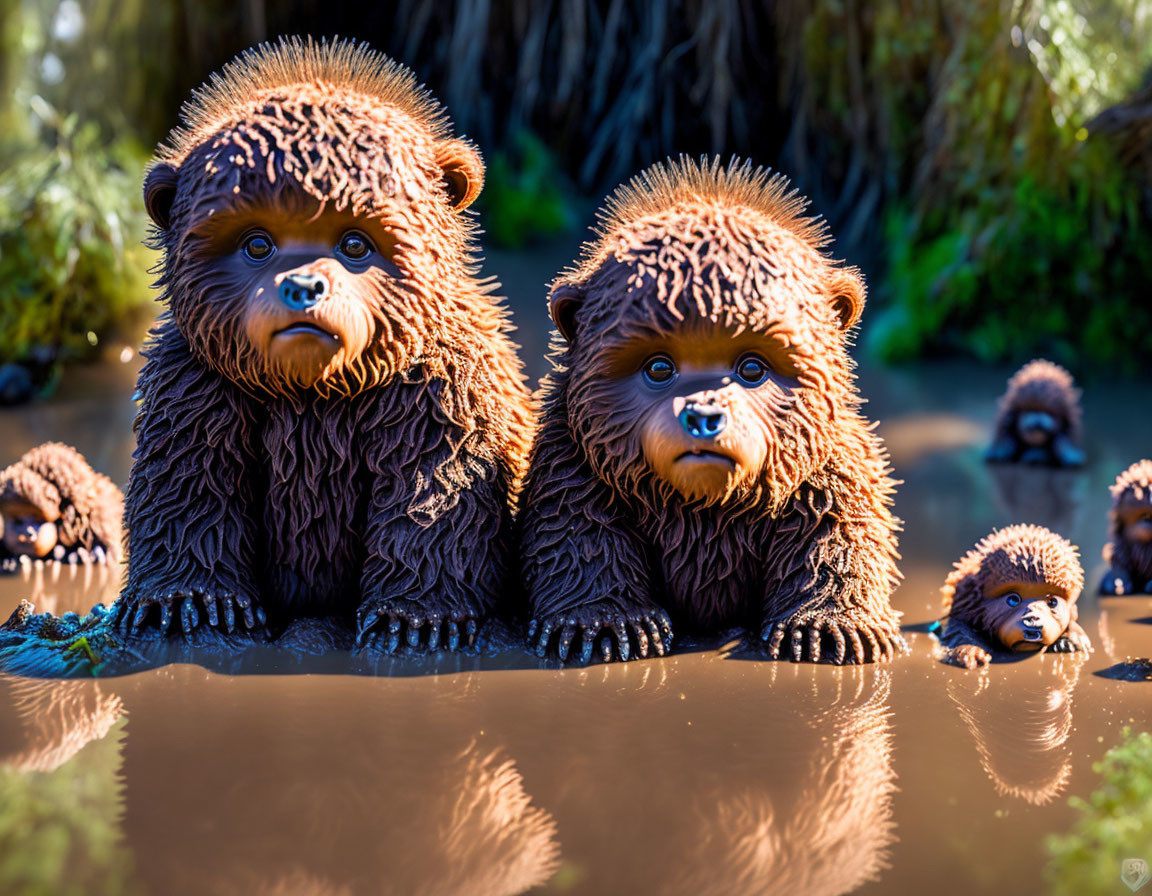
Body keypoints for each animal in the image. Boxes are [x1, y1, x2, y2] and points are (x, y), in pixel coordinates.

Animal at [110, 38, 532, 644]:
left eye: (355, 243)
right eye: (256, 243)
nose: (304, 287)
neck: (315, 396)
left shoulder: (442, 387)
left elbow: (434, 491)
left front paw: (416, 618)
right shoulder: (192, 384)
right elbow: (186, 484)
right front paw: (190, 600)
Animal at [518, 156, 903, 663]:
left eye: (753, 367)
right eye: (658, 366)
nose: (703, 417)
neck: (705, 513)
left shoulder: (826, 466)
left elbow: (839, 530)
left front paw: (830, 629)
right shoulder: (575, 459)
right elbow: (575, 527)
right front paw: (604, 626)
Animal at [935, 522, 1087, 663]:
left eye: (1053, 602)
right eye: (1013, 599)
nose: (1032, 620)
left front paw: (1068, 642)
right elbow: (958, 630)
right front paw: (970, 654)